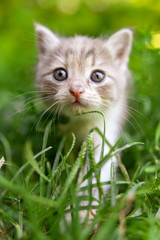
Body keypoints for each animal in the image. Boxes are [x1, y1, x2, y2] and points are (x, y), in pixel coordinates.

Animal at [34, 23, 132, 220]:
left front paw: (79, 214)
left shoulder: (105, 134)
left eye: (97, 76)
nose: (76, 90)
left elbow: (95, 173)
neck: (81, 123)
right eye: (60, 74)